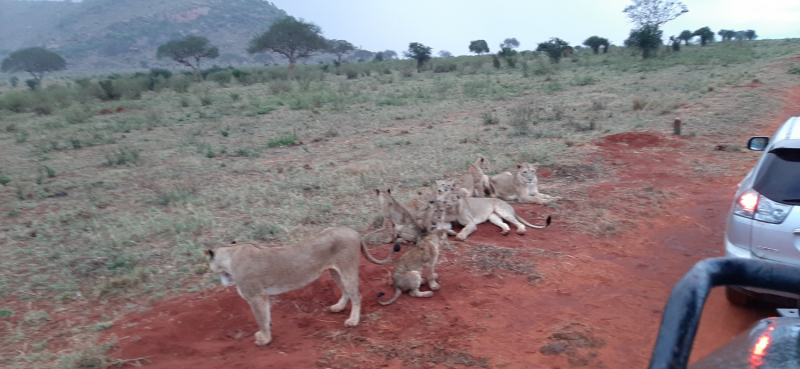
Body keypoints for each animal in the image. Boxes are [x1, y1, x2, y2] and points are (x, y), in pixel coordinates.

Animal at [203, 227, 396, 344]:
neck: (231, 255)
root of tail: (353, 231)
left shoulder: (255, 295)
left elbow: (260, 319)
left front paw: (264, 339)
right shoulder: (262, 295)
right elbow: (266, 315)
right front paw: (268, 331)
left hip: (347, 267)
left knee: (356, 295)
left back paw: (353, 321)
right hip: (335, 270)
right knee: (346, 290)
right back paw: (339, 307)